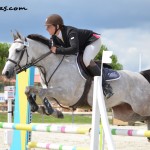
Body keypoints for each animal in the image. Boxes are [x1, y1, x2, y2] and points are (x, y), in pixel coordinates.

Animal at [1, 32, 150, 135]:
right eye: (9, 50)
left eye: (18, 50)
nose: (6, 73)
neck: (52, 64)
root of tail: (142, 77)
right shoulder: (53, 92)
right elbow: (30, 89)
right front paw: (45, 109)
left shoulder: (67, 95)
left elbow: (42, 92)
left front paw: (49, 111)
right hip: (126, 112)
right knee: (143, 119)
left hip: (140, 107)